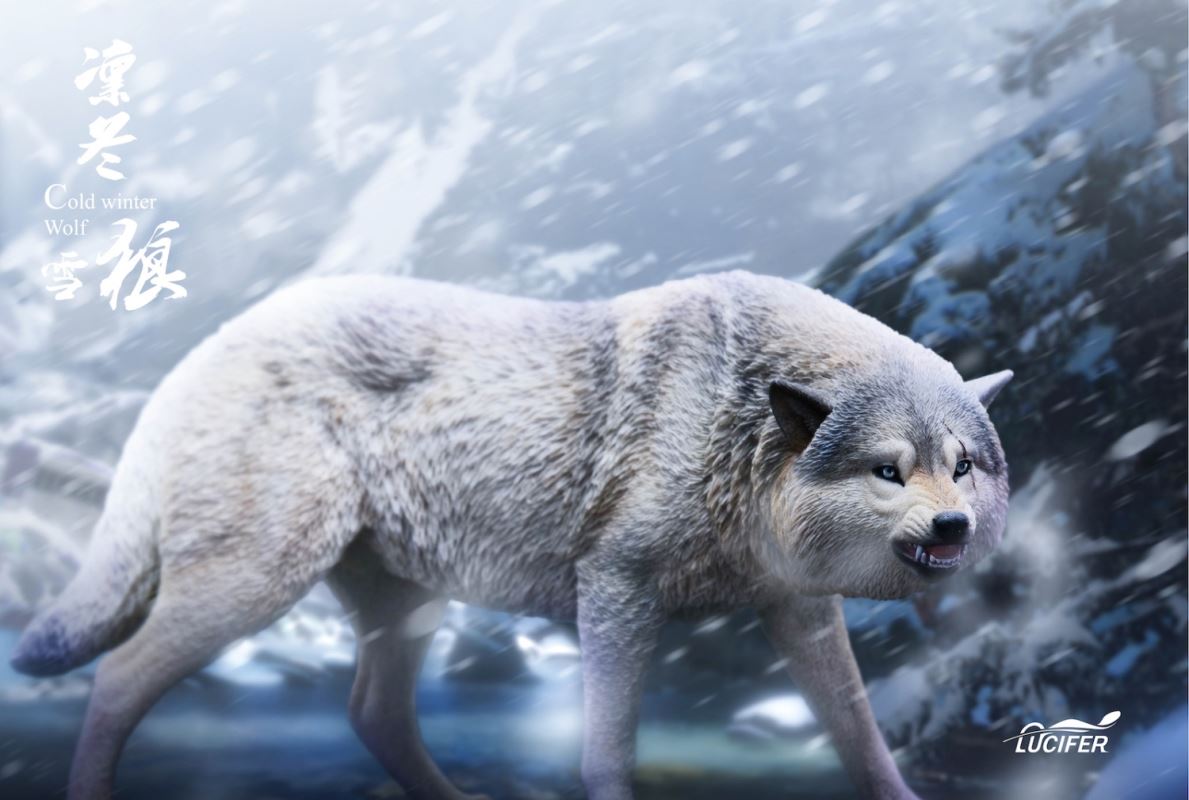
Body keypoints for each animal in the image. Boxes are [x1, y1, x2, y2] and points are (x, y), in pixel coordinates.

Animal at [11, 271, 1011, 800]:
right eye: (887, 471)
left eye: (963, 465)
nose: (952, 525)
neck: (736, 428)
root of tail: (202, 352)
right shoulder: (614, 591)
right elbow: (605, 751)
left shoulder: (798, 612)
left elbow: (860, 739)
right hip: (251, 587)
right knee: (117, 677)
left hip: (403, 609)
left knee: (371, 713)